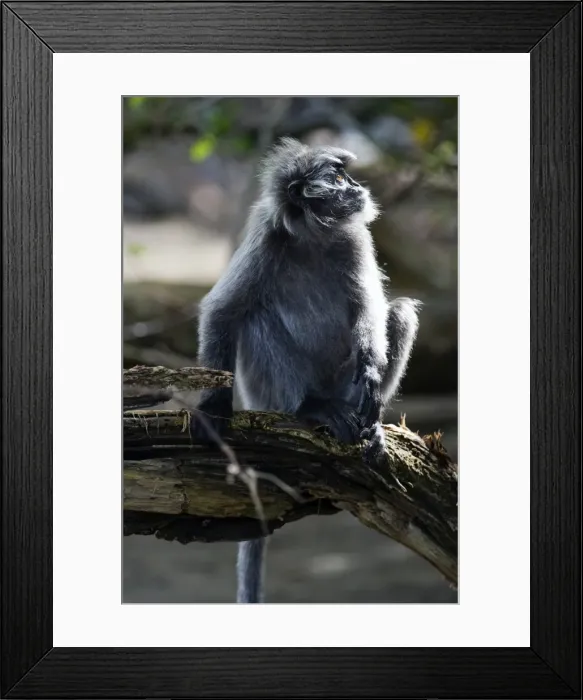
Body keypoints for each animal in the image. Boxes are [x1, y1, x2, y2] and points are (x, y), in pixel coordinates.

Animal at [192, 137, 420, 603]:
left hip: (345, 387)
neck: (316, 238)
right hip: (268, 393)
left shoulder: (356, 237)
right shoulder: (266, 236)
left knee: (401, 312)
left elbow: (370, 308)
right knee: (256, 317)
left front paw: (372, 378)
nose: (358, 186)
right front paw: (212, 409)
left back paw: (369, 426)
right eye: (338, 177)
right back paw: (311, 409)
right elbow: (222, 311)